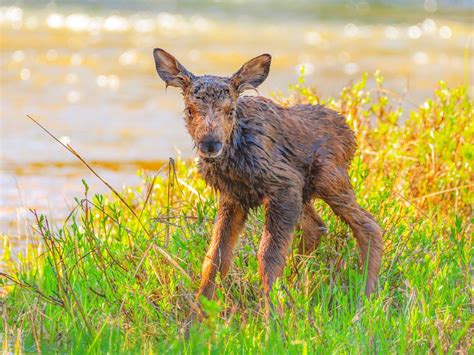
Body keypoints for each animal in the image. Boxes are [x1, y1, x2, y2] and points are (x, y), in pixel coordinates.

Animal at [154, 48, 384, 314]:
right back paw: (299, 286)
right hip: (306, 192)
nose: (210, 144)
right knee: (317, 227)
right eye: (190, 109)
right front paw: (196, 318)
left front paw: (273, 317)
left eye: (230, 110)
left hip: (329, 179)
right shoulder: (233, 197)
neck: (235, 161)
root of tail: (350, 132)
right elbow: (214, 259)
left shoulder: (283, 184)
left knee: (368, 225)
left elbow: (267, 257)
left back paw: (365, 298)